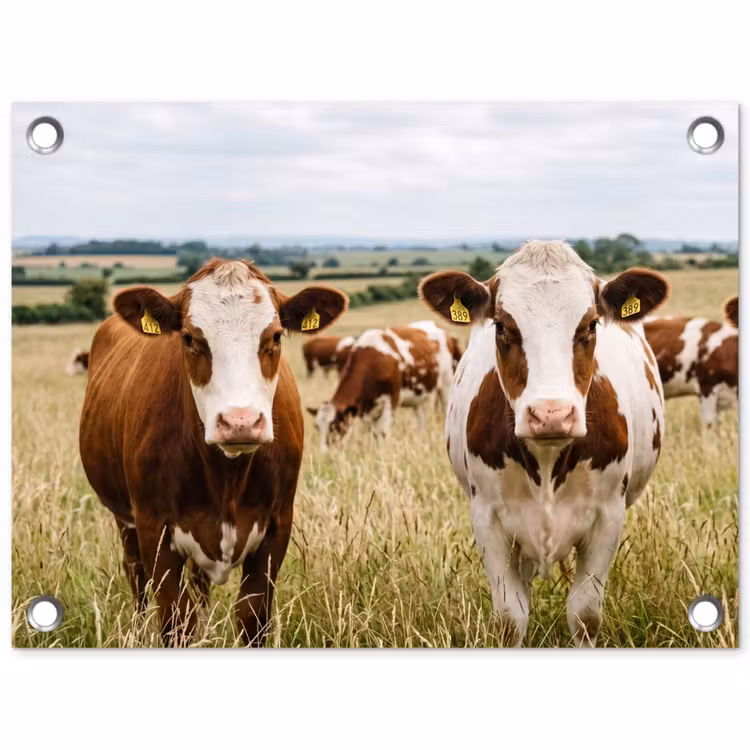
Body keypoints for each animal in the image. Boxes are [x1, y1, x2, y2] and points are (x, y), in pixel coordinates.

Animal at [78, 259, 348, 645]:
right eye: (190, 338)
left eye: (275, 336)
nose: (240, 422)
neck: (227, 477)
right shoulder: (153, 529)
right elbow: (175, 620)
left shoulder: (277, 525)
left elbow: (252, 617)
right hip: (125, 521)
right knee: (137, 581)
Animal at [308, 320, 456, 451]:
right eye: (317, 427)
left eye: (334, 425)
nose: (324, 453)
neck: (372, 361)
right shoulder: (368, 409)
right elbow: (374, 433)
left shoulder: (392, 400)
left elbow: (383, 432)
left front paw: (385, 452)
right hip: (418, 396)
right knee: (421, 420)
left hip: (446, 384)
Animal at [419, 240, 669, 647]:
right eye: (502, 326)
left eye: (591, 324)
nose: (551, 414)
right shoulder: (488, 518)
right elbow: (510, 618)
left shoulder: (608, 517)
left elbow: (585, 614)